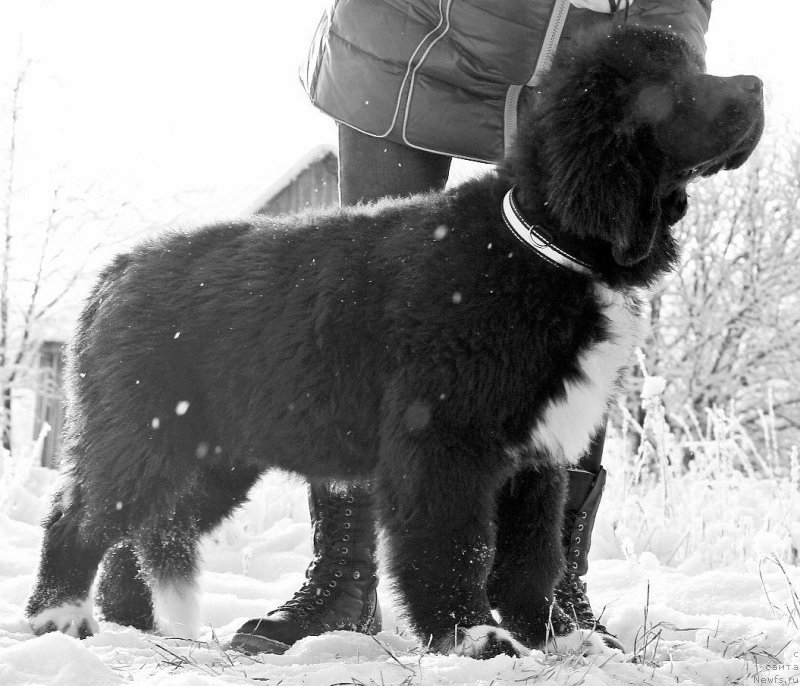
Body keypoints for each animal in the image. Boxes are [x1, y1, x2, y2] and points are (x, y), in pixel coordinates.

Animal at [26, 26, 764, 660]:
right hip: (143, 430)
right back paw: (61, 618)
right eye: (672, 86)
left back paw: (136, 622)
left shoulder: (538, 453)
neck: (540, 245)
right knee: (83, 515)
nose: (758, 84)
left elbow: (535, 556)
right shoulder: (444, 440)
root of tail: (119, 269)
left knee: (150, 527)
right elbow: (455, 544)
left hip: (218, 453)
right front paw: (472, 637)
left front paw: (558, 637)